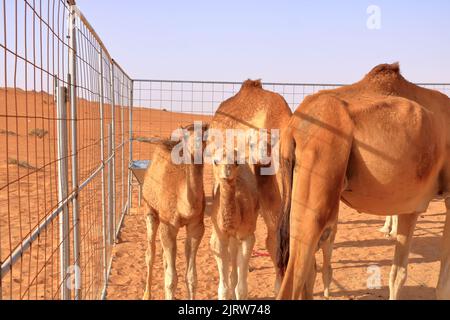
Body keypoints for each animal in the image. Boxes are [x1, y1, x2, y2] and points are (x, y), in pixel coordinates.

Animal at [142, 123, 208, 300]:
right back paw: (146, 294)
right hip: (150, 210)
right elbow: (172, 279)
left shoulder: (196, 226)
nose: (196, 150)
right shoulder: (168, 225)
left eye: (205, 135)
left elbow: (191, 277)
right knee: (150, 253)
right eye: (186, 136)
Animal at [211, 151, 260, 298]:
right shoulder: (219, 238)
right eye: (215, 161)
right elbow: (223, 288)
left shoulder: (248, 236)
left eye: (236, 162)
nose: (227, 172)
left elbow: (242, 288)